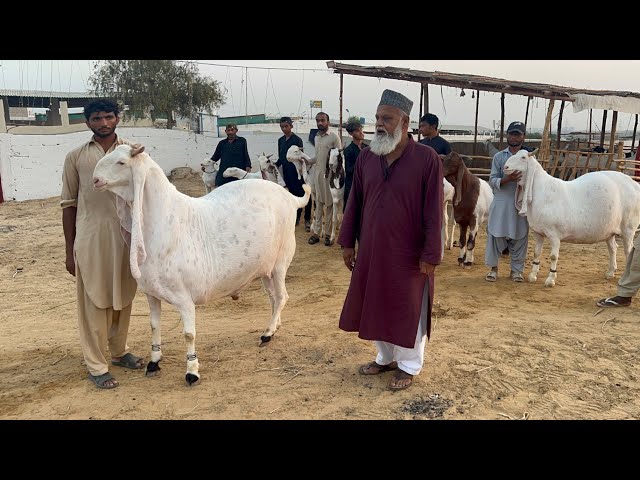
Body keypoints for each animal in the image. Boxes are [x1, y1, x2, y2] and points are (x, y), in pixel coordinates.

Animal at [93, 143, 312, 386]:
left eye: (121, 162)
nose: (95, 179)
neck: (164, 221)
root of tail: (291, 198)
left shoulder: (185, 299)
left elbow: (189, 335)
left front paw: (192, 371)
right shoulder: (152, 294)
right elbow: (154, 326)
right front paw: (154, 361)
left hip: (281, 261)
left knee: (282, 296)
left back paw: (268, 333)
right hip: (265, 268)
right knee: (273, 297)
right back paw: (274, 325)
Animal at [504, 150, 640, 284]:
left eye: (523, 157)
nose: (506, 167)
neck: (542, 191)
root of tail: (634, 184)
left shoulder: (554, 234)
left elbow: (553, 256)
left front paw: (551, 279)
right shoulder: (538, 232)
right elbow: (536, 253)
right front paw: (533, 275)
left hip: (628, 228)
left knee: (628, 251)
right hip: (609, 230)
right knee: (613, 248)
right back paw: (610, 272)